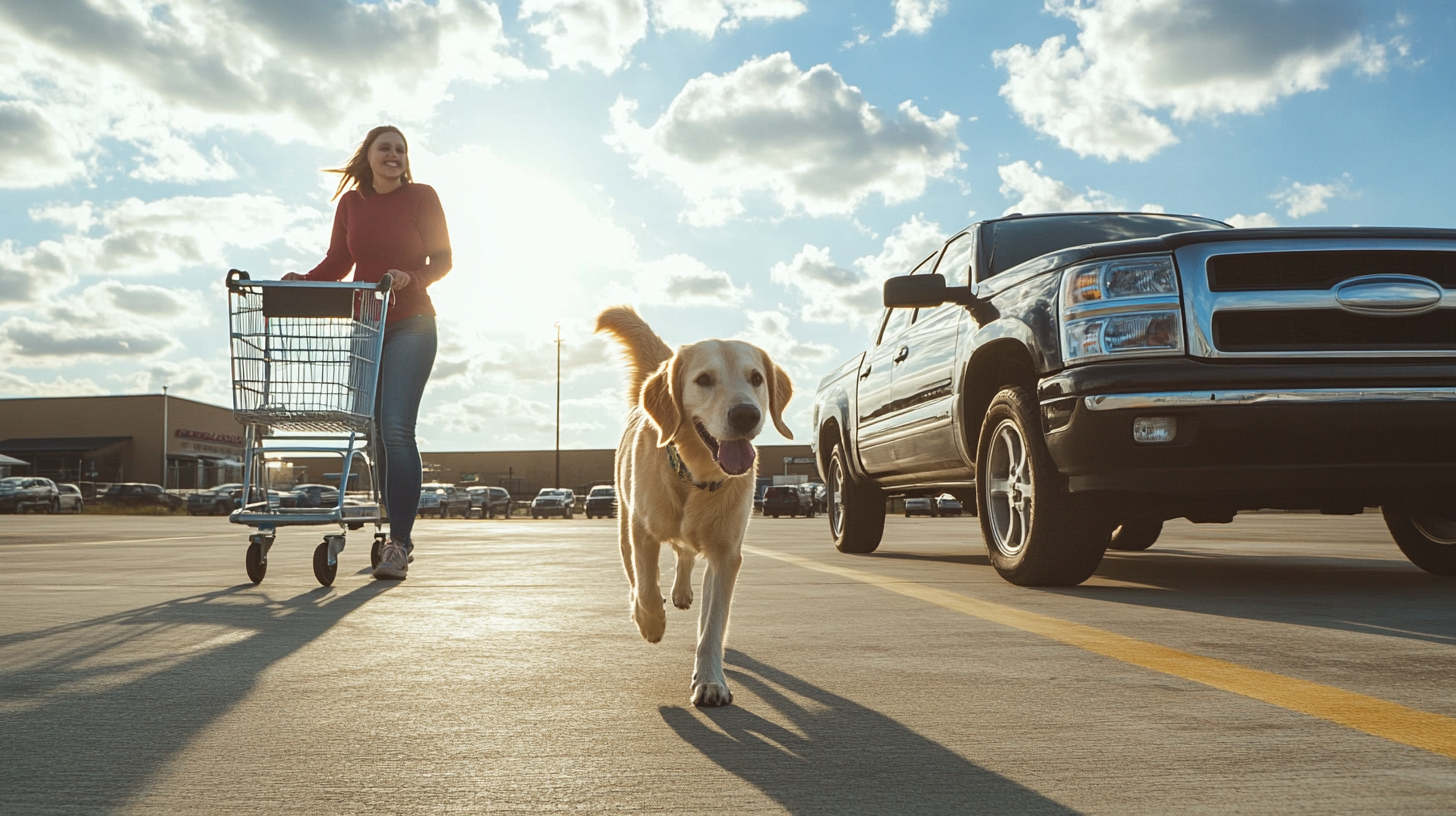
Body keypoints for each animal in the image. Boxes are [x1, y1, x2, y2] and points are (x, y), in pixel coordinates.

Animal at [594, 306, 797, 708]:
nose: (746, 415)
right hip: (624, 521)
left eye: (756, 378)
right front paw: (651, 623)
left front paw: (710, 680)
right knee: (636, 573)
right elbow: (646, 586)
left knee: (685, 554)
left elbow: (713, 624)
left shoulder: (726, 554)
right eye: (704, 379)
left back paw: (684, 593)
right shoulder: (642, 531)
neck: (695, 477)